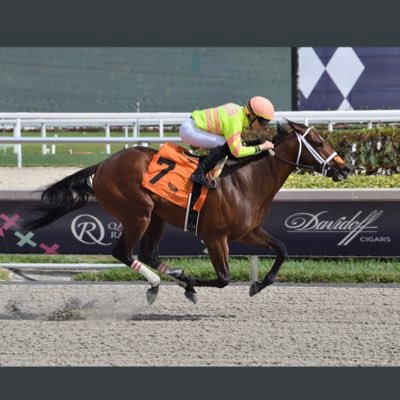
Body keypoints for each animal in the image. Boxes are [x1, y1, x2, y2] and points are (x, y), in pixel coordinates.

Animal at [19, 120, 350, 304]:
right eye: (318, 142)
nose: (345, 168)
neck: (246, 180)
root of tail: (102, 165)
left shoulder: (248, 231)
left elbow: (281, 248)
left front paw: (258, 284)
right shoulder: (216, 237)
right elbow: (223, 278)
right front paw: (190, 284)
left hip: (156, 218)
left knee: (147, 253)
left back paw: (169, 277)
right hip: (138, 213)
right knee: (123, 252)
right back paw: (156, 283)